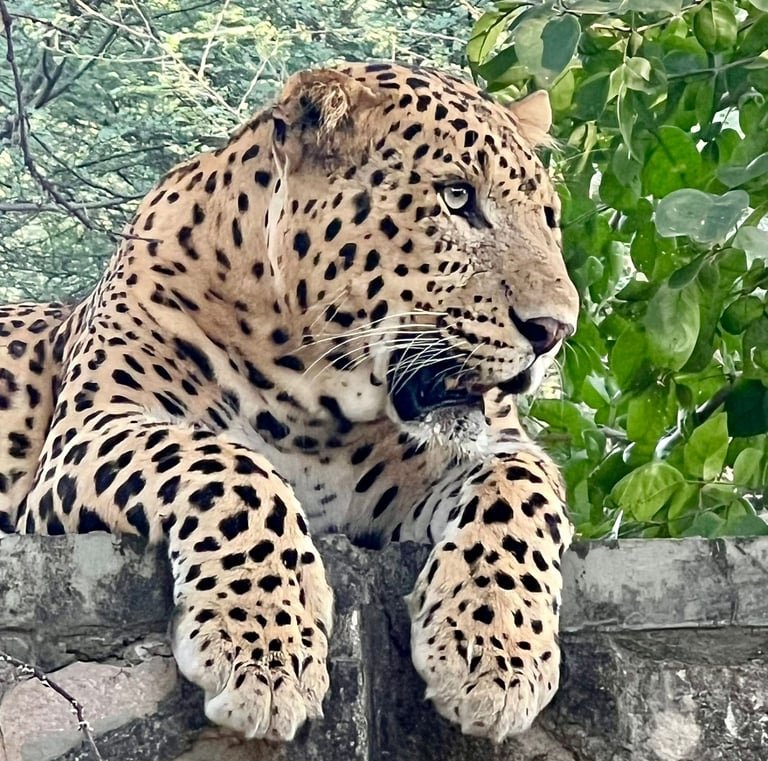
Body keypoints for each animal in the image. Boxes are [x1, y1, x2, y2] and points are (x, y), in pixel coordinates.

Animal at [0, 62, 579, 743]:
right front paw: (266, 653)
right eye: (457, 197)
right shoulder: (90, 430)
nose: (555, 330)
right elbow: (227, 466)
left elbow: (520, 488)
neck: (314, 399)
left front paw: (496, 653)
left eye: (548, 218)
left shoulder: (478, 455)